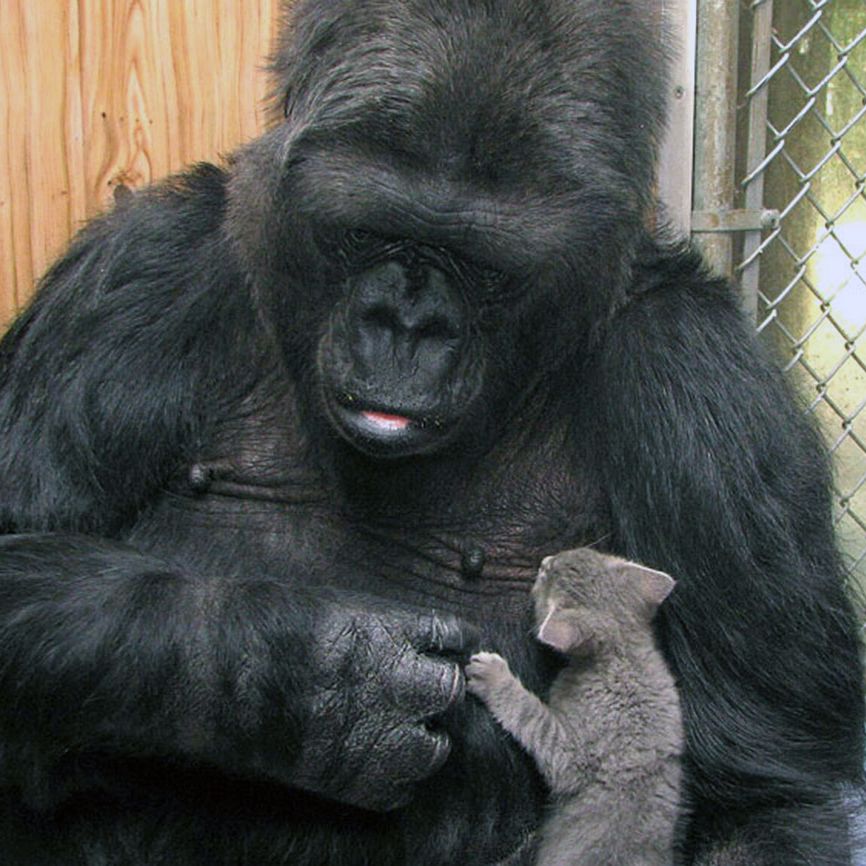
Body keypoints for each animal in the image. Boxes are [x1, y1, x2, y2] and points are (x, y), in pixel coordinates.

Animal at [466, 548, 680, 864]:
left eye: (546, 575)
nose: (544, 561)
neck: (621, 654)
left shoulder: (572, 755)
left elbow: (530, 715)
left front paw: (493, 676)